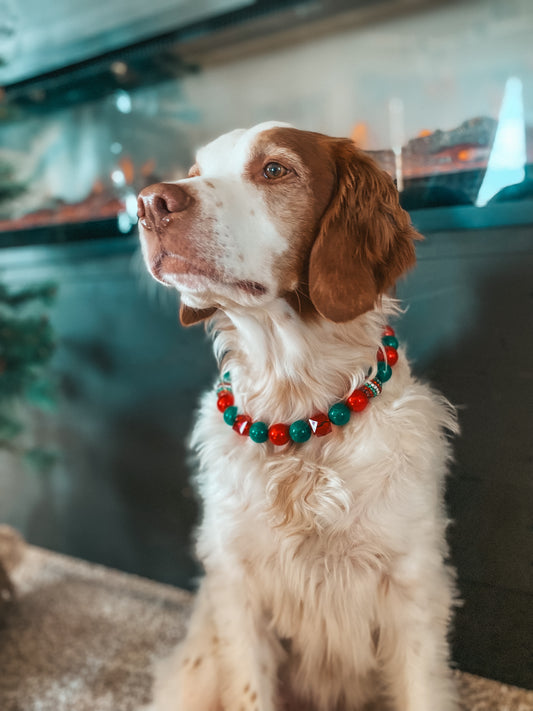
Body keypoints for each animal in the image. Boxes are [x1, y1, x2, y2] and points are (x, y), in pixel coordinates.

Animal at [137, 124, 458, 711]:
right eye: (196, 173)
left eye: (274, 170)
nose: (148, 203)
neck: (300, 426)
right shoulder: (238, 588)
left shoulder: (412, 586)